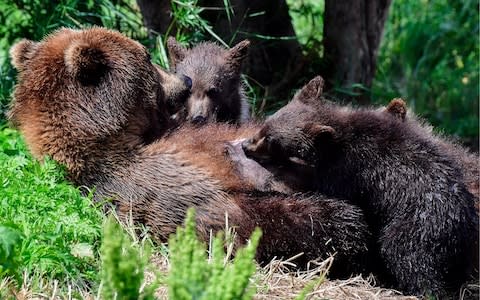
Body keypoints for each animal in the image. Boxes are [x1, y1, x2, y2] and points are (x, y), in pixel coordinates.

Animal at [242, 75, 478, 298]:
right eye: (266, 125)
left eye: (270, 140)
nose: (246, 145)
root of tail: (458, 226)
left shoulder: (349, 171)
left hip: (415, 228)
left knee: (410, 259)